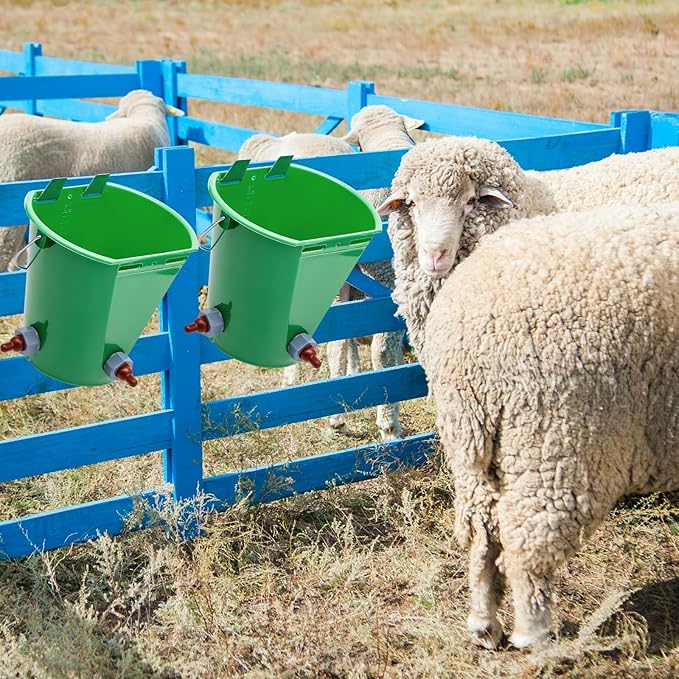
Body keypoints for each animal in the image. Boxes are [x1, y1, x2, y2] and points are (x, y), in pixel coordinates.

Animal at [420, 204, 679, 649]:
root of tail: (465, 341)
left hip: (476, 454)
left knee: (481, 535)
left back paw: (484, 625)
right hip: (556, 441)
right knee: (528, 542)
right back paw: (532, 632)